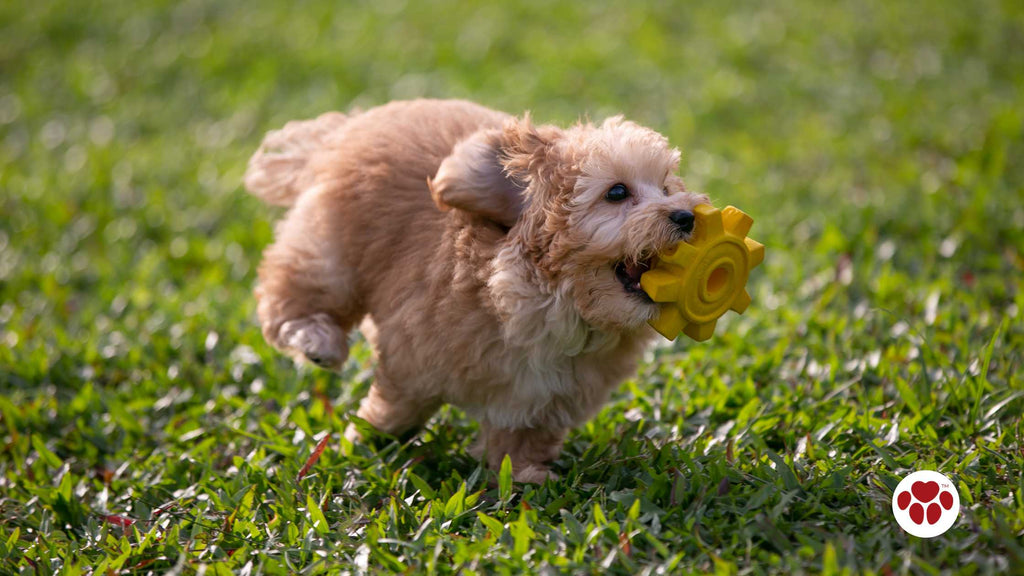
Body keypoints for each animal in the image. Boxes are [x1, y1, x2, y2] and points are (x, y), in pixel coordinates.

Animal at [243, 98, 708, 479]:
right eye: (617, 192)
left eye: (666, 188)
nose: (687, 217)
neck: (556, 307)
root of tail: (346, 129)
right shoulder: (411, 353)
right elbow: (398, 403)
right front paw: (367, 437)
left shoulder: (547, 397)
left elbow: (521, 433)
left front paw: (523, 476)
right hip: (333, 250)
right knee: (293, 293)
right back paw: (316, 341)